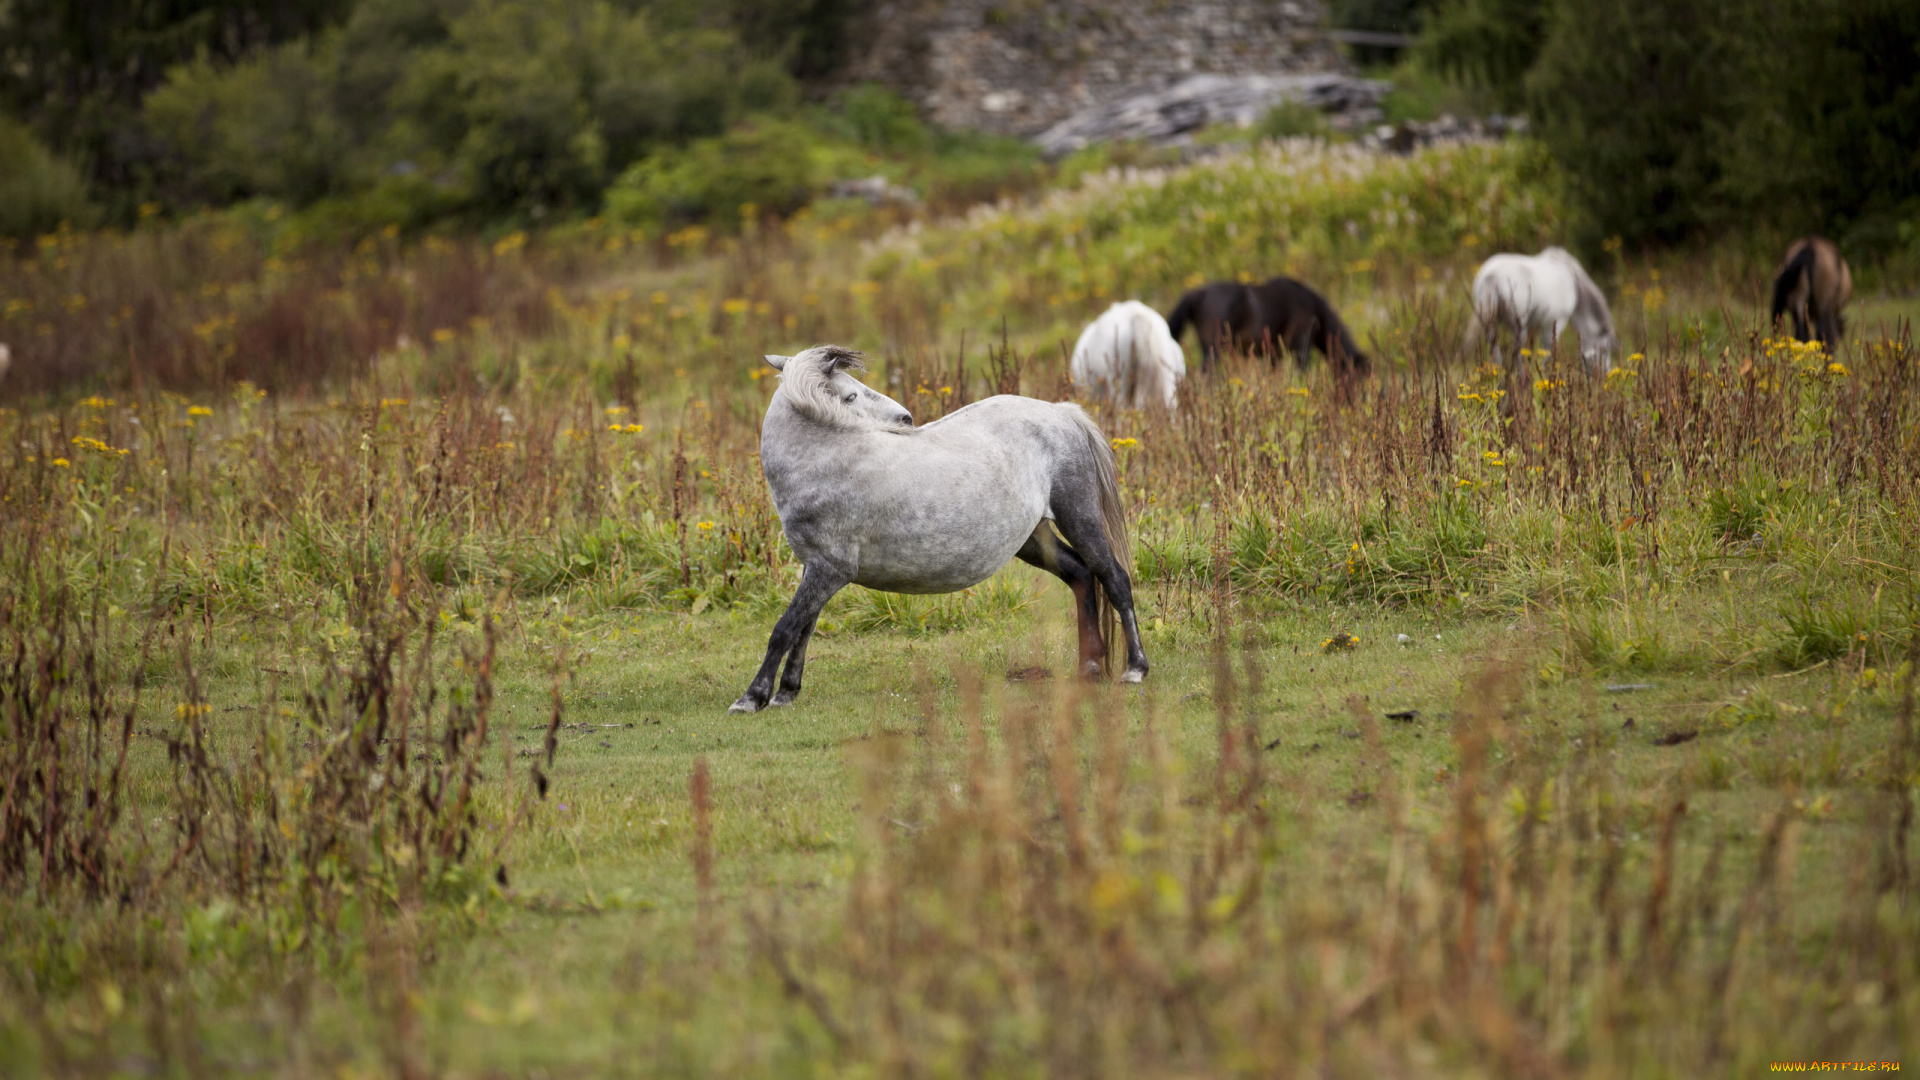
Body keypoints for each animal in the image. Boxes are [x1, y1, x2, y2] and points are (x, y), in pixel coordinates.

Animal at [729, 345, 1152, 714]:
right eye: (850, 396)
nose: (906, 419)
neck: (829, 460)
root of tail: (1062, 414)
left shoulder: (830, 571)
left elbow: (785, 628)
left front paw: (752, 698)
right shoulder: (814, 569)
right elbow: (803, 628)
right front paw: (785, 692)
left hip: (1079, 518)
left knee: (1114, 578)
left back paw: (1135, 669)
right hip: (1034, 539)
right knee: (1081, 575)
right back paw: (1089, 670)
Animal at [1167, 274, 1367, 372]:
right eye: (1359, 379)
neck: (1314, 309)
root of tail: (1198, 294)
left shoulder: (1274, 354)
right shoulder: (1301, 346)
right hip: (1214, 348)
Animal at [1474, 245, 1612, 372]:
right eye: (1605, 350)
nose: (1604, 374)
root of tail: (1491, 277)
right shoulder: (1554, 323)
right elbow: (1547, 353)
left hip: (1491, 325)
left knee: (1496, 352)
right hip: (1519, 326)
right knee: (1516, 354)